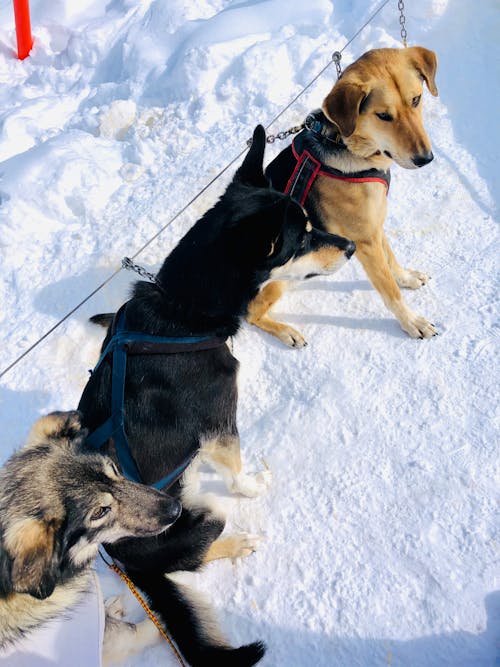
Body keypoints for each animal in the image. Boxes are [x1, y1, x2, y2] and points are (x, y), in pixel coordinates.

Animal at [78, 126, 354, 667]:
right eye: (305, 235)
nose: (352, 245)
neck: (183, 312)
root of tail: (117, 559)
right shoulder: (220, 422)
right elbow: (237, 468)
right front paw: (254, 483)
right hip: (202, 513)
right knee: (201, 553)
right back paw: (239, 542)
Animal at [248, 47, 440, 344]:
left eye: (416, 99)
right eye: (383, 116)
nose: (425, 159)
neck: (345, 145)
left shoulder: (375, 227)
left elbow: (392, 261)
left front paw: (406, 278)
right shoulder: (365, 242)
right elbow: (390, 291)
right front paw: (412, 322)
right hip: (278, 281)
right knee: (251, 314)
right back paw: (288, 332)